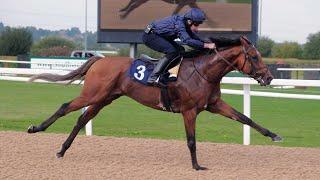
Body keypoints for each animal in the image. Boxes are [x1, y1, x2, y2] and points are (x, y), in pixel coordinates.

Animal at [28, 36, 282, 170]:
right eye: (254, 56)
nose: (269, 78)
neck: (204, 72)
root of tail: (99, 60)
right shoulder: (189, 111)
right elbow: (191, 140)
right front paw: (197, 166)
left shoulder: (214, 105)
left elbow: (245, 118)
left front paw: (274, 135)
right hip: (93, 94)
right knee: (65, 107)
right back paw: (35, 128)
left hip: (104, 99)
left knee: (81, 119)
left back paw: (62, 150)